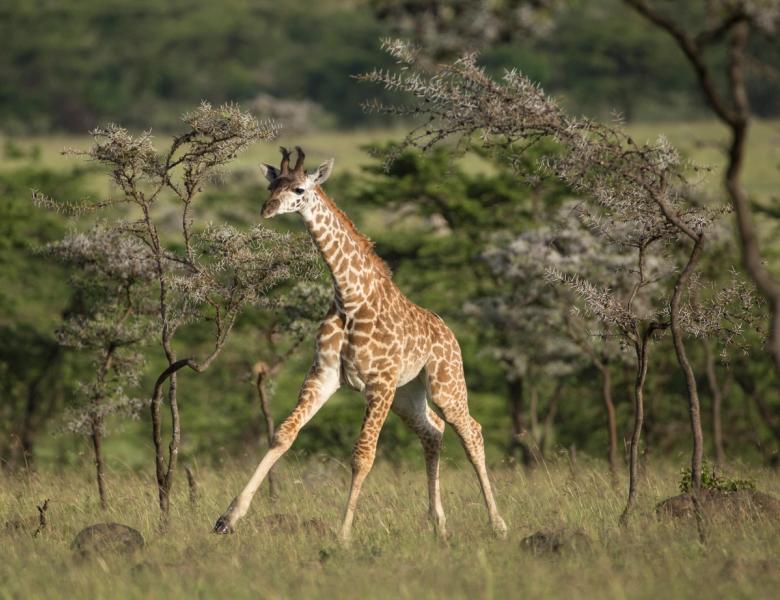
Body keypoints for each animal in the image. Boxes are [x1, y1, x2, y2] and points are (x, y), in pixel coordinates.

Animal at [214, 146, 507, 542]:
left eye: (300, 190)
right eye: (272, 185)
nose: (267, 209)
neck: (350, 297)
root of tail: (449, 333)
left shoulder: (378, 383)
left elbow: (362, 455)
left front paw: (343, 534)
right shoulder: (324, 374)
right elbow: (283, 435)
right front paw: (228, 518)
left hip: (444, 384)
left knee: (471, 430)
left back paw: (498, 523)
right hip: (407, 394)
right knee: (433, 431)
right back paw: (438, 522)